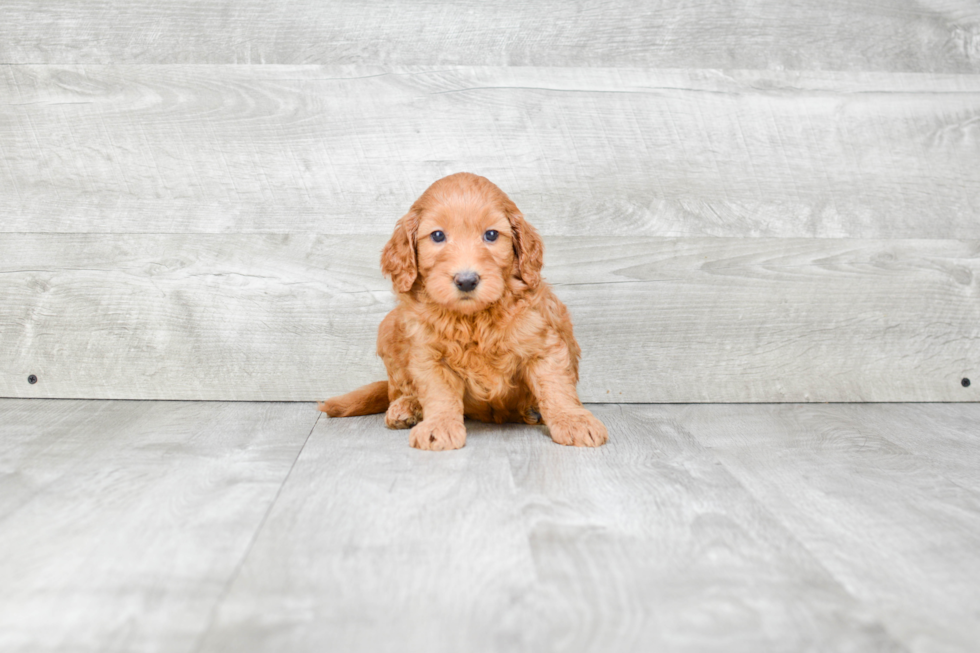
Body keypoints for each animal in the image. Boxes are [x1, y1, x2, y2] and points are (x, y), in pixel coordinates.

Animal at [318, 171, 608, 450]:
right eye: (437, 236)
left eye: (491, 235)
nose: (467, 280)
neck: (474, 318)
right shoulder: (429, 355)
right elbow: (439, 394)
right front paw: (439, 426)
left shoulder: (543, 343)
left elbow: (556, 387)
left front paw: (573, 420)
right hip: (389, 327)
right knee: (397, 389)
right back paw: (406, 407)